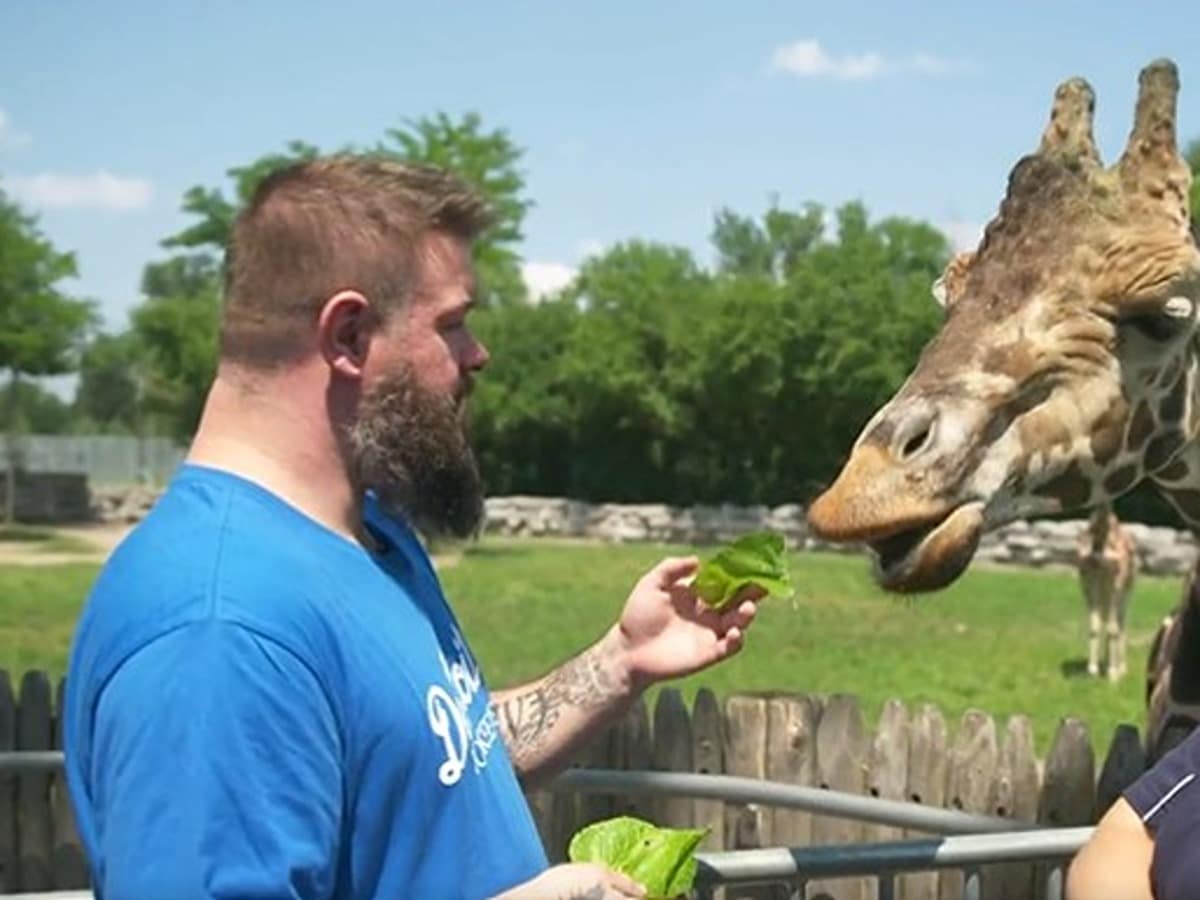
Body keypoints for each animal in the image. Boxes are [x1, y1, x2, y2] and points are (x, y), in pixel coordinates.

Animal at [1075, 508, 1137, 681]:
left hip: (1124, 593)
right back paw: (1108, 663)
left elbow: (1113, 628)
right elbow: (1094, 626)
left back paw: (1121, 668)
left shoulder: (1116, 586)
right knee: (1109, 622)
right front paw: (1093, 669)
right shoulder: (1088, 585)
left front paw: (1113, 673)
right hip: (1105, 595)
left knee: (1120, 623)